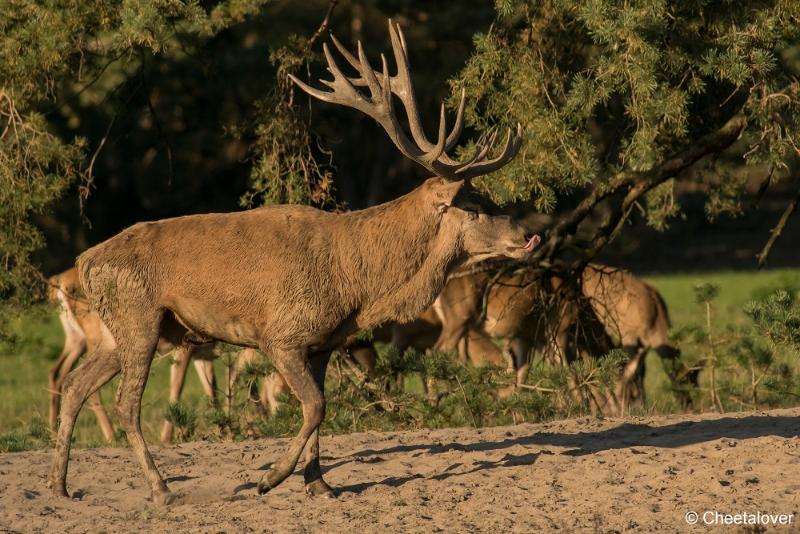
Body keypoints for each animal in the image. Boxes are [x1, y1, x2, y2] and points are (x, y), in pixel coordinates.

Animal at [48, 19, 536, 506]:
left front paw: (319, 482)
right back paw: (161, 489)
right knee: (125, 403)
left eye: (488, 198)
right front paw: (271, 478)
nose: (527, 236)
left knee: (75, 385)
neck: (357, 283)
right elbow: (314, 407)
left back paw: (60, 485)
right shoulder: (282, 335)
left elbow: (320, 408)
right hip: (140, 318)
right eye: (472, 207)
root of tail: (85, 261)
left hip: (124, 331)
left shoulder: (322, 343)